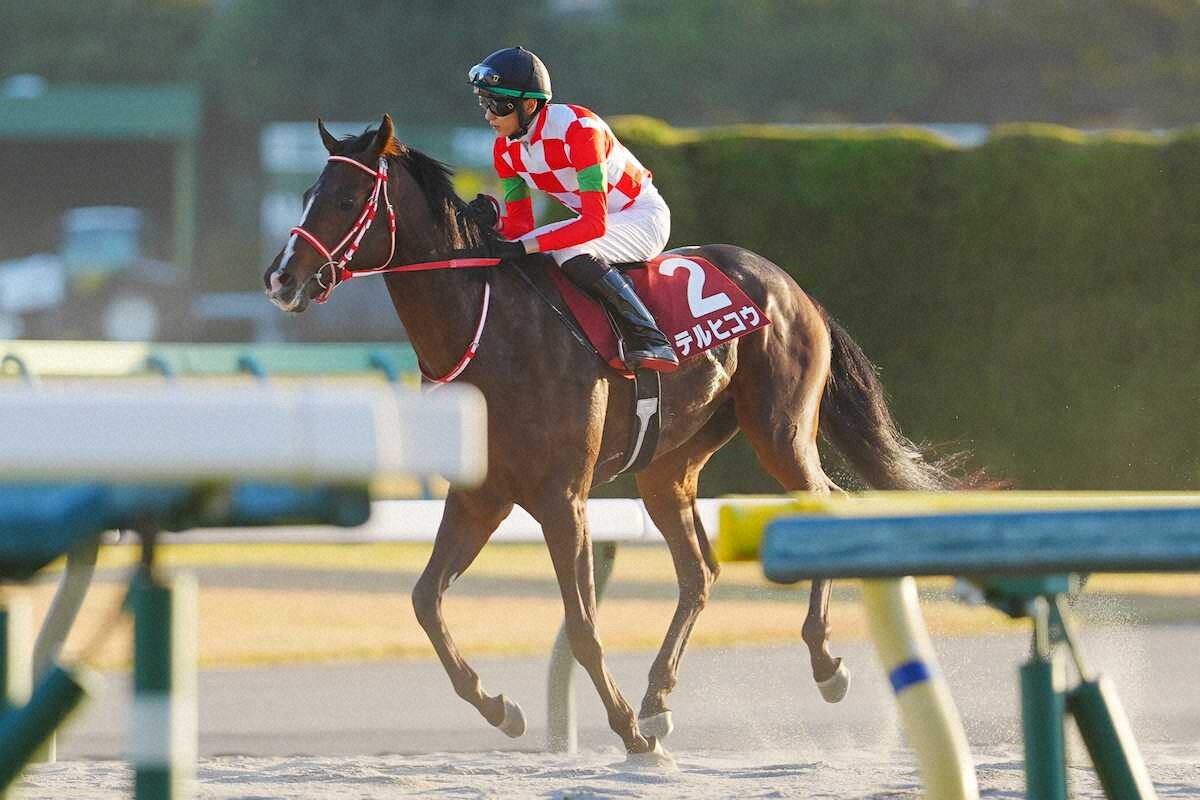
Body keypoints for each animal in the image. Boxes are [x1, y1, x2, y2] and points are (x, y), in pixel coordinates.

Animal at [263, 115, 961, 760]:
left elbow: (582, 624)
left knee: (825, 504)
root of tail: (793, 286)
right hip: (668, 465)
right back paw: (658, 697)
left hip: (780, 429)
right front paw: (501, 709)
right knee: (699, 571)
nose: (280, 278)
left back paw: (821, 664)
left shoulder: (562, 497)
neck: (490, 332)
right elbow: (424, 601)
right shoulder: (480, 496)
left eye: (347, 199)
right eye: (306, 192)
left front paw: (626, 731)